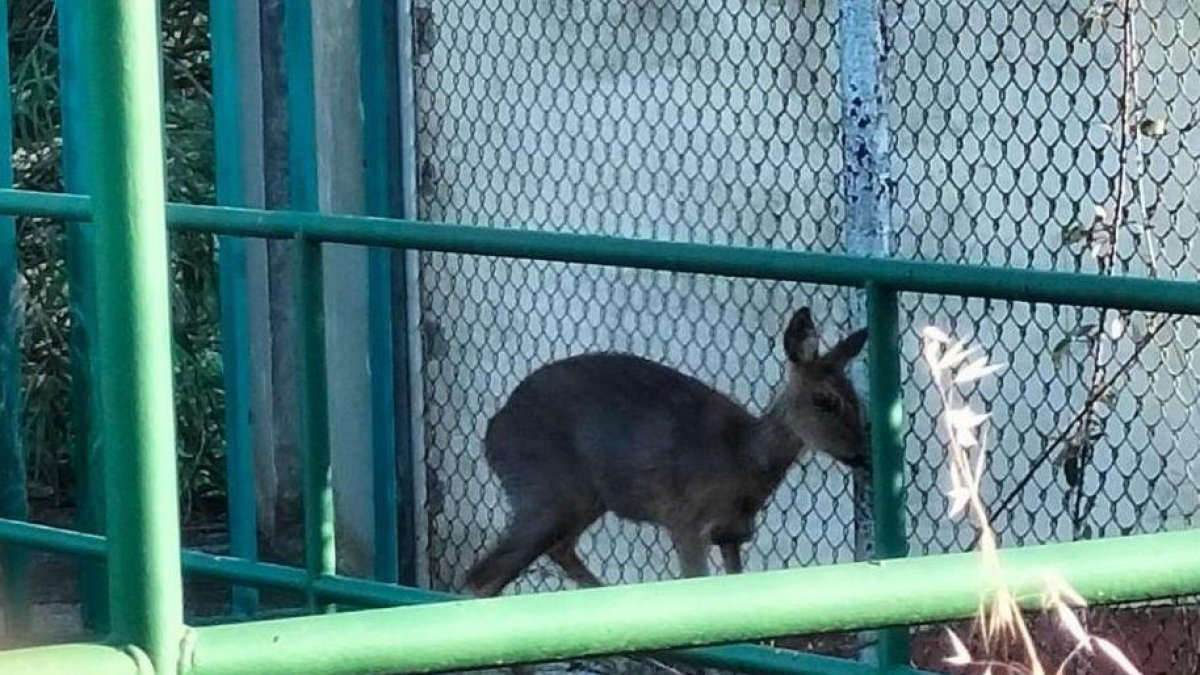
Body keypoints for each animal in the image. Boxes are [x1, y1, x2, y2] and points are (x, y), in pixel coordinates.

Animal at [463, 305, 868, 593]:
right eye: (825, 400)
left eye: (857, 398)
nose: (862, 453)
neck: (743, 459)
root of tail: (493, 432)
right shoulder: (685, 519)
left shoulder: (732, 533)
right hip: (545, 491)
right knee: (481, 577)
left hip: (583, 500)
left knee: (552, 552)